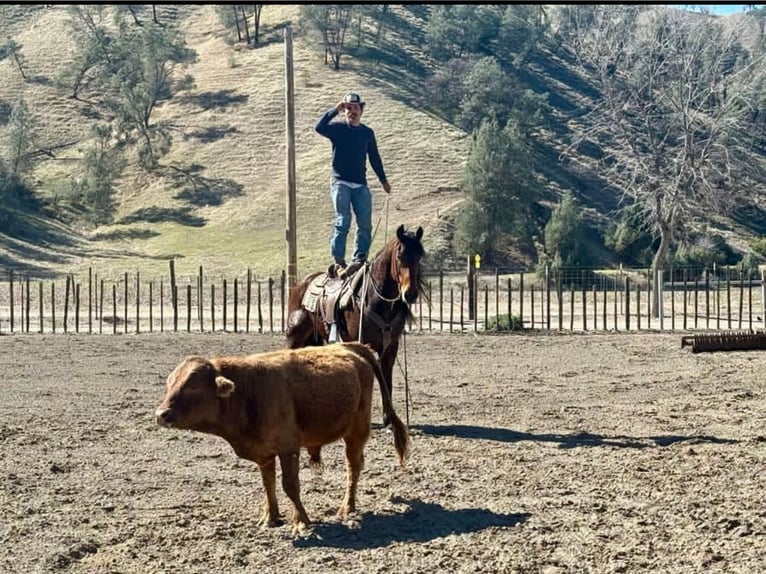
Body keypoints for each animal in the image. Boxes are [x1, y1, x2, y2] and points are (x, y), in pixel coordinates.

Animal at [153, 342, 412, 536]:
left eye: (193, 386)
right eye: (170, 382)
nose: (161, 414)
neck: (247, 391)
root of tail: (350, 346)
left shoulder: (288, 448)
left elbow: (290, 485)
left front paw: (301, 521)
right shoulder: (264, 453)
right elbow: (268, 483)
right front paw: (270, 517)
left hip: (356, 431)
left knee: (353, 466)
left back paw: (347, 506)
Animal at [286, 226, 428, 428]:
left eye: (420, 255)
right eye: (400, 255)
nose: (410, 294)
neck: (375, 299)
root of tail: (302, 284)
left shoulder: (390, 347)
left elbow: (386, 379)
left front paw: (388, 418)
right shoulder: (359, 342)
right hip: (294, 333)